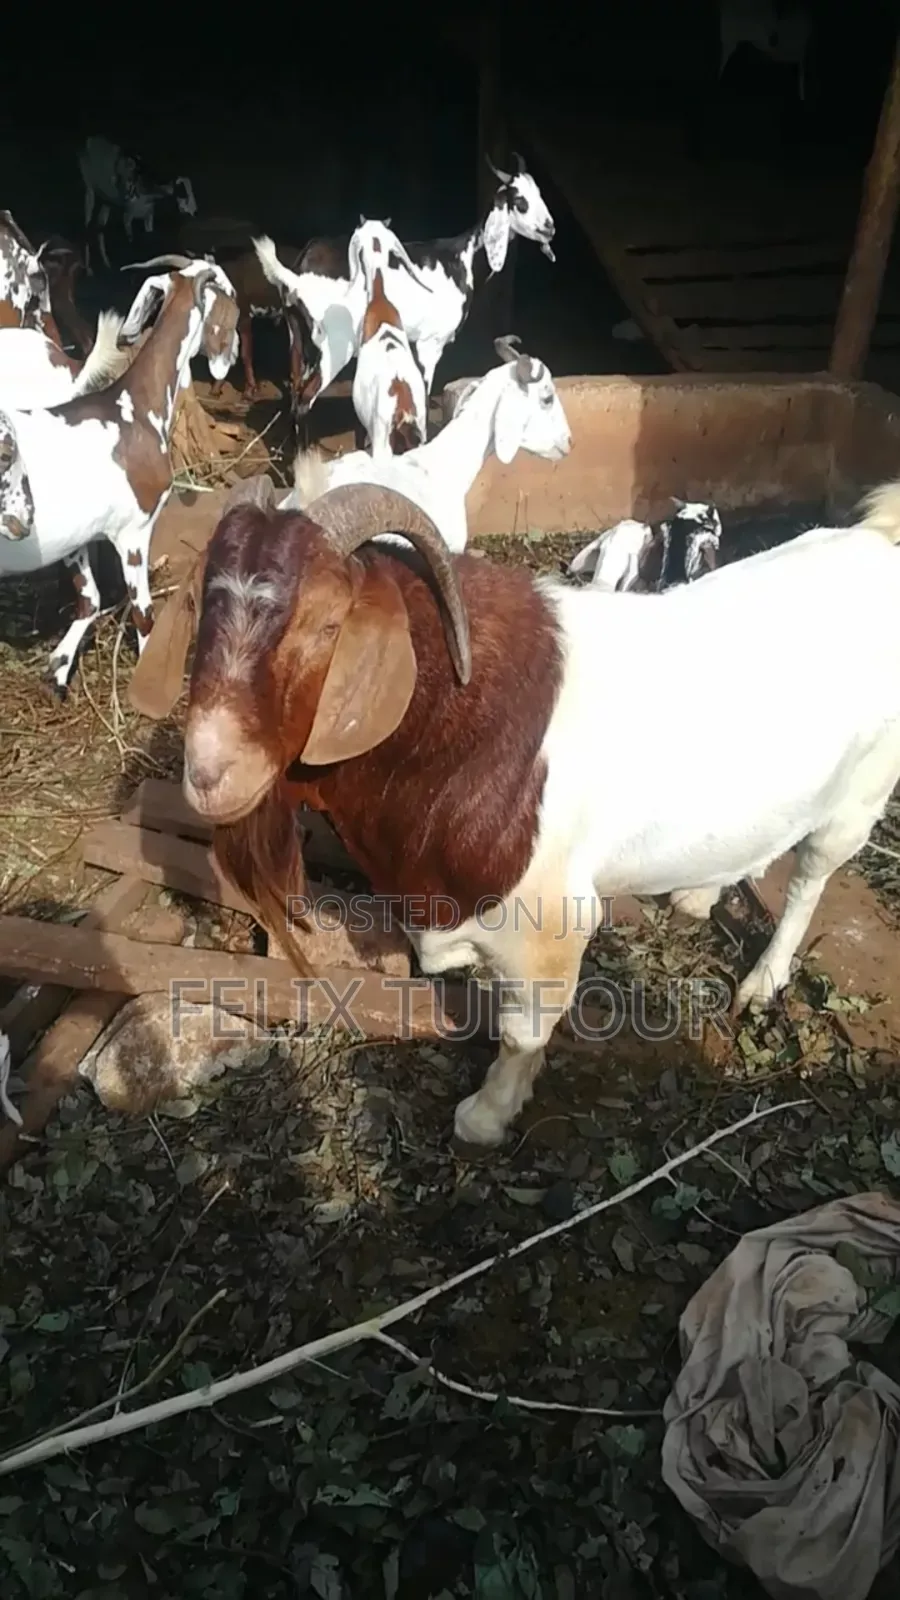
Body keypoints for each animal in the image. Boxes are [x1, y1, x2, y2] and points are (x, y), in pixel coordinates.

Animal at [0, 256, 238, 691]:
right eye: (228, 290)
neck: (134, 409)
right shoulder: (134, 533)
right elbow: (144, 614)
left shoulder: (78, 536)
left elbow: (89, 600)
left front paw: (59, 665)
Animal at [78, 136, 197, 273]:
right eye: (183, 193)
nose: (195, 210)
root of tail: (91, 139)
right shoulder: (127, 217)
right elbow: (131, 241)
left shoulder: (149, 216)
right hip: (89, 188)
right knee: (88, 218)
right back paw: (89, 268)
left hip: (106, 200)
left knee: (100, 224)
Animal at [255, 154, 556, 420]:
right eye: (520, 201)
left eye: (539, 194)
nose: (549, 228)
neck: (462, 260)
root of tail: (298, 270)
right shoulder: (429, 344)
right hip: (334, 346)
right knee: (305, 400)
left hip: (297, 338)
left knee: (296, 395)